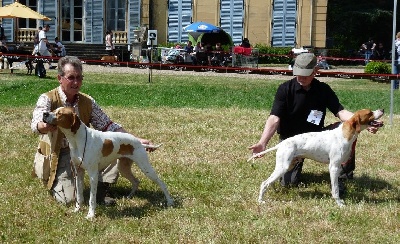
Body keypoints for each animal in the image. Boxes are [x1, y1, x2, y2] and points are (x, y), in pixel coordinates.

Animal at [43, 107, 173, 219]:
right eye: (53, 110)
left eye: (60, 113)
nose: (44, 114)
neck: (78, 140)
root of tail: (139, 142)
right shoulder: (78, 172)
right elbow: (79, 196)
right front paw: (77, 209)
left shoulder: (93, 175)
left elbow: (92, 199)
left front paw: (90, 215)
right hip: (123, 168)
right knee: (136, 181)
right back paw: (129, 196)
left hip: (145, 167)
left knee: (162, 184)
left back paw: (170, 201)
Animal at [247, 109, 384, 207]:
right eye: (369, 113)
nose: (382, 109)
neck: (345, 134)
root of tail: (281, 144)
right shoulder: (333, 167)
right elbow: (335, 189)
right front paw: (339, 203)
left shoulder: (338, 166)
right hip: (283, 167)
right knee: (264, 183)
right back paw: (261, 201)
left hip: (287, 166)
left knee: (270, 181)